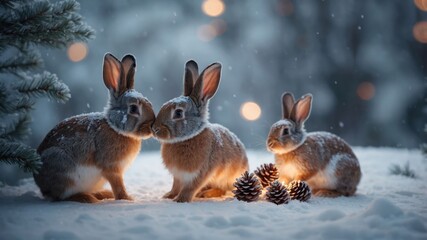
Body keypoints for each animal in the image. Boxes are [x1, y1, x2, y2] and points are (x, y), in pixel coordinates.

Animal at [33, 52, 156, 202]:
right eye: (133, 109)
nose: (152, 125)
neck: (115, 128)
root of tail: (41, 185)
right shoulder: (111, 168)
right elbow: (118, 185)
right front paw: (127, 199)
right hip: (63, 169)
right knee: (62, 196)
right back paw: (88, 198)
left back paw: (103, 194)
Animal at [152, 60, 249, 202]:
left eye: (178, 113)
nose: (154, 129)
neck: (188, 137)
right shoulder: (178, 175)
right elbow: (176, 186)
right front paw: (169, 196)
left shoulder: (201, 172)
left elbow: (190, 188)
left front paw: (181, 199)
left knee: (222, 189)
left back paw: (206, 193)